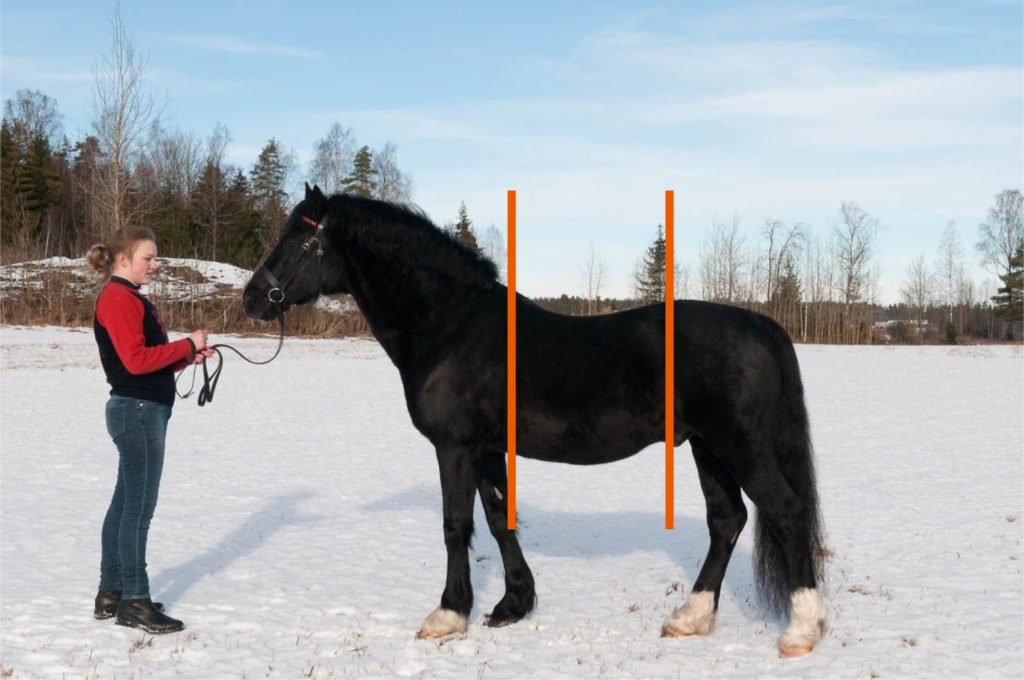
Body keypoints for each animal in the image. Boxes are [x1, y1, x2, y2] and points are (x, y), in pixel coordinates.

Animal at [243, 183, 827, 655]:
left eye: (297, 239)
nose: (251, 298)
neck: (450, 326)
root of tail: (760, 324)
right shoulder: (486, 448)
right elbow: (499, 519)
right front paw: (512, 604)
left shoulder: (454, 446)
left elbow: (456, 525)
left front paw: (448, 615)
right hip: (707, 447)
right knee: (727, 520)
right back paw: (690, 617)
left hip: (740, 446)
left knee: (786, 511)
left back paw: (802, 630)